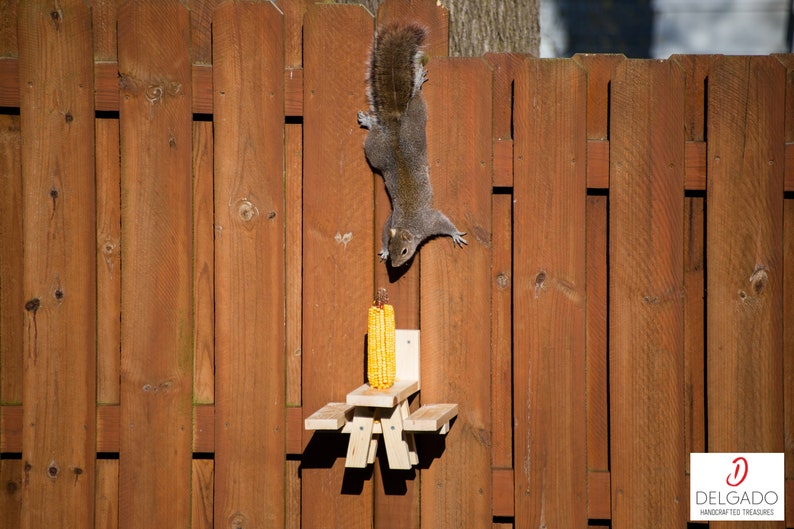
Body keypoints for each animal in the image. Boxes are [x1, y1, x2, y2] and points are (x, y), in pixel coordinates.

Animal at [357, 23, 467, 268]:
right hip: (377, 151)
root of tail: (396, 127)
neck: (408, 225)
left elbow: (443, 222)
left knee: (415, 102)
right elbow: (384, 229)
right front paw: (382, 251)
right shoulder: (391, 222)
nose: (395, 266)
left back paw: (415, 84)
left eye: (405, 251)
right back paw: (370, 121)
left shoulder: (429, 222)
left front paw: (455, 234)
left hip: (413, 124)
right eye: (392, 247)